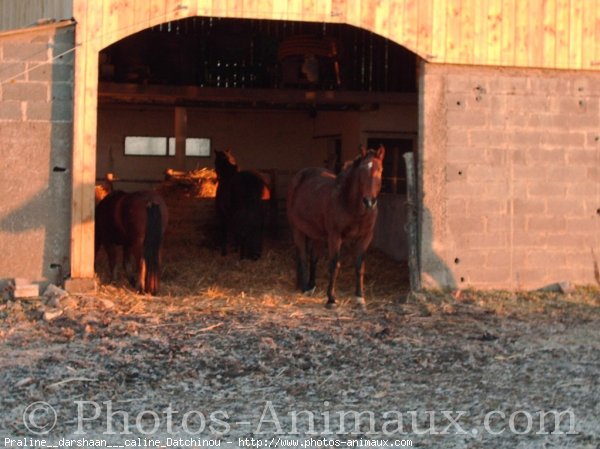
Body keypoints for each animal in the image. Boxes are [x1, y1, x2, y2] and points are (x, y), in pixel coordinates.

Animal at [286, 145, 384, 310]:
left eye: (380, 170)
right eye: (362, 171)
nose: (369, 201)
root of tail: (299, 176)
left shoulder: (365, 237)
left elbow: (360, 266)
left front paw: (360, 297)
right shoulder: (335, 236)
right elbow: (334, 265)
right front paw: (331, 299)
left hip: (317, 234)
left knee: (313, 258)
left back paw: (311, 286)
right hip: (297, 229)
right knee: (302, 257)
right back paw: (305, 287)